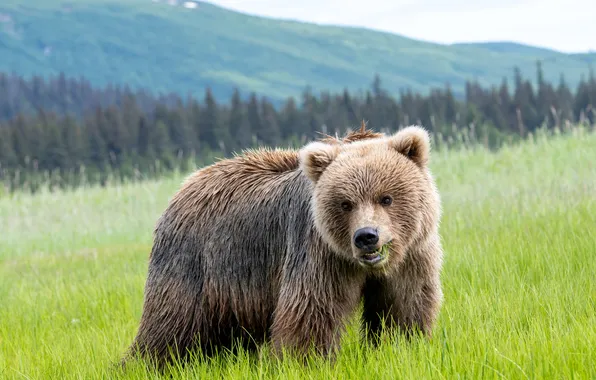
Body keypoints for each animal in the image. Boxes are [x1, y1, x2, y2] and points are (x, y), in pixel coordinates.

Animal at [124, 123, 442, 366]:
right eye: (345, 203)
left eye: (386, 197)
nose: (366, 236)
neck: (367, 266)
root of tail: (181, 189)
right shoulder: (319, 253)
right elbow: (311, 308)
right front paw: (304, 361)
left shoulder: (412, 255)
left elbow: (403, 306)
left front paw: (402, 345)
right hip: (196, 262)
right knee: (171, 324)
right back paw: (143, 362)